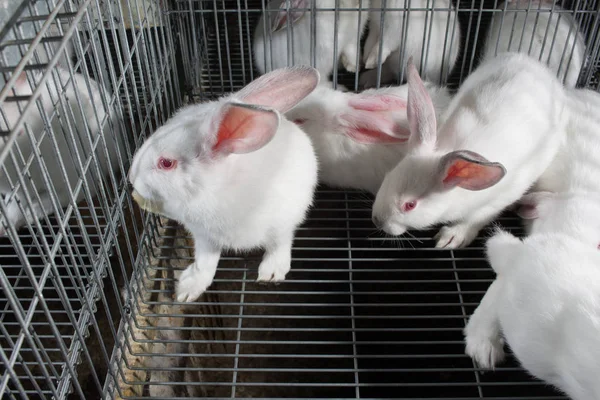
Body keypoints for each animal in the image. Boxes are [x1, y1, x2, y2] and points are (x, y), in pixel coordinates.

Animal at [129, 66, 322, 304]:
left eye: (166, 163)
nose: (132, 179)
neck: (211, 191)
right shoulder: (204, 237)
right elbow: (205, 263)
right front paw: (187, 290)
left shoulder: (282, 224)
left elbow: (279, 245)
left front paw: (271, 273)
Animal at [370, 52, 568, 247]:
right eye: (388, 176)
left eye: (410, 205)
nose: (377, 220)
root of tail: (532, 61)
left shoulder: (495, 203)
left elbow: (474, 219)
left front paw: (450, 238)